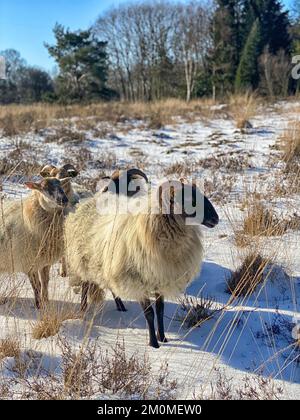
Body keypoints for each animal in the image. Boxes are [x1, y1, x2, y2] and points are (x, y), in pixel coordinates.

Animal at [0, 176, 69, 308]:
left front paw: (46, 302)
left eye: (61, 185)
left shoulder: (45, 262)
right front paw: (39, 305)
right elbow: (36, 286)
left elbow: (45, 283)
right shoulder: (29, 263)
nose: (64, 200)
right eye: (44, 187)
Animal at [64, 174, 219, 348]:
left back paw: (120, 306)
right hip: (83, 261)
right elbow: (149, 313)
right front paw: (153, 344)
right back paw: (83, 309)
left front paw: (163, 337)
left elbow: (160, 310)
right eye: (189, 200)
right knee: (85, 286)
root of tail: (91, 198)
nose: (216, 218)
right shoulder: (138, 281)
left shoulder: (160, 278)